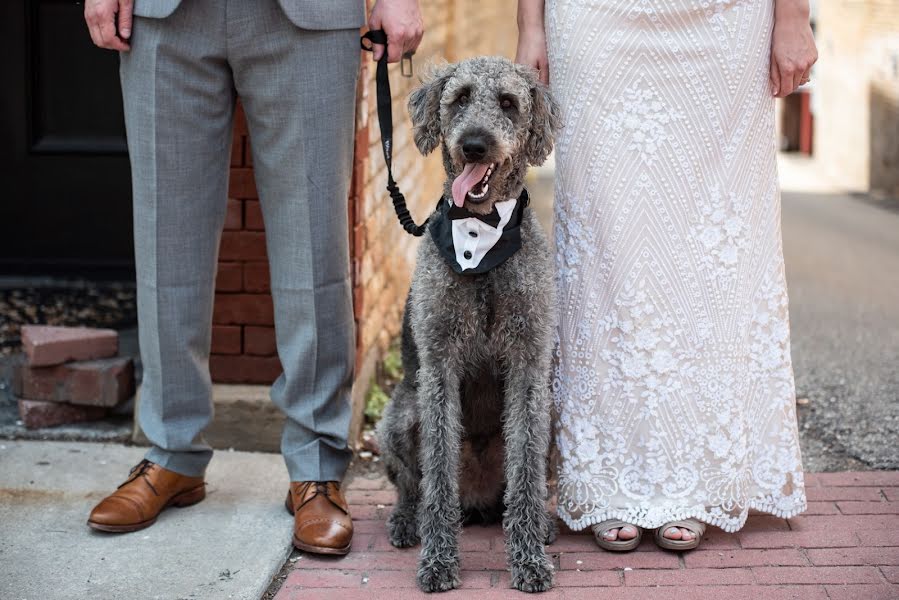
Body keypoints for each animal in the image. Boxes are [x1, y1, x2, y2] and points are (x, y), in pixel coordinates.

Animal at [374, 55, 560, 592]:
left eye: (508, 103)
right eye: (458, 98)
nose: (474, 144)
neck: (481, 234)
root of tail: (476, 500)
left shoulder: (528, 365)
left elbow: (525, 474)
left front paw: (529, 560)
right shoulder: (439, 368)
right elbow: (438, 473)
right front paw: (438, 562)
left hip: (553, 416)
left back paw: (542, 525)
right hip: (397, 419)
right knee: (412, 486)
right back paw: (406, 522)